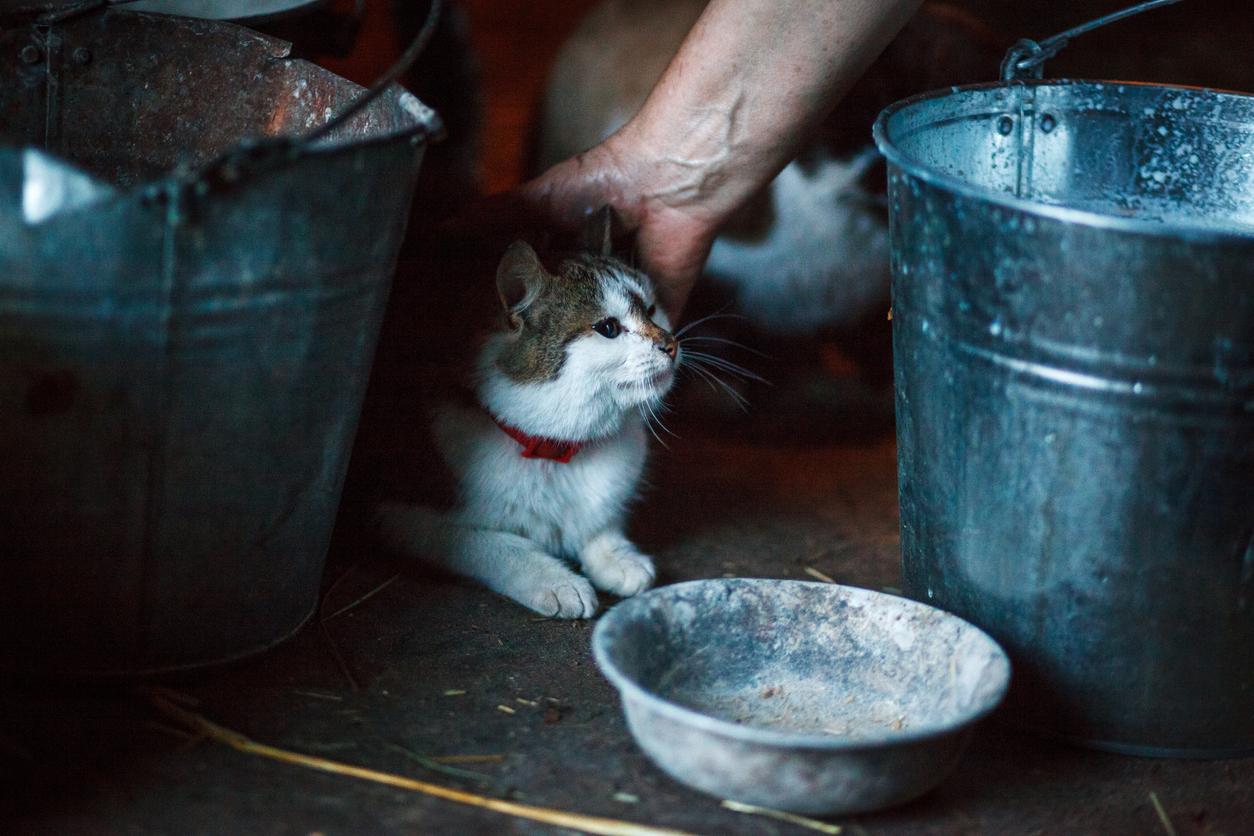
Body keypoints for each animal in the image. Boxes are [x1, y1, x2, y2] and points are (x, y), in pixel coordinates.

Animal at [376, 238, 682, 619]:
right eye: (608, 328)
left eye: (653, 309)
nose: (671, 345)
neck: (555, 454)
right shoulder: (398, 514)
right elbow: (487, 539)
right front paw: (554, 579)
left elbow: (597, 521)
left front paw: (617, 556)